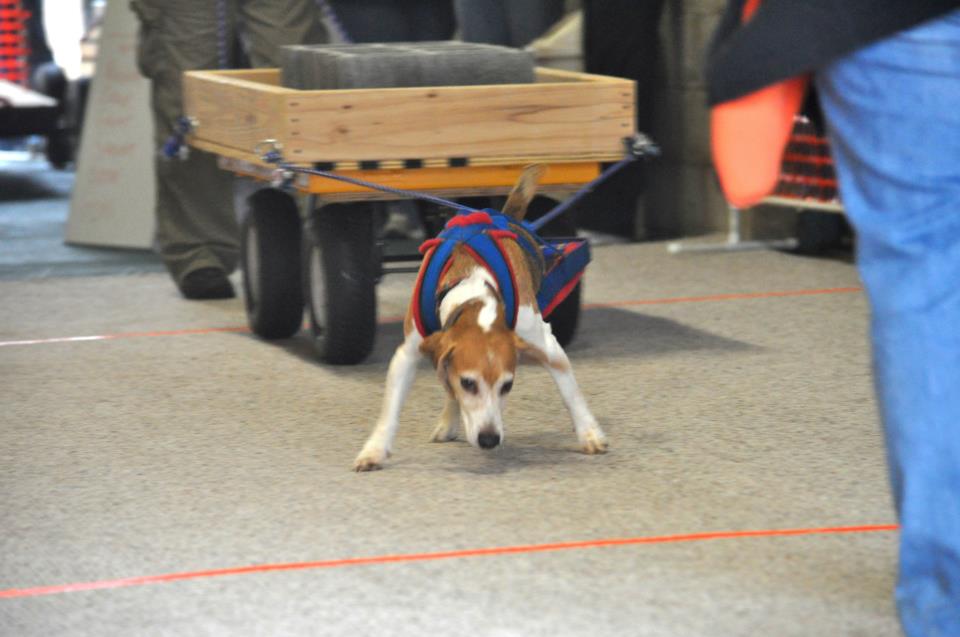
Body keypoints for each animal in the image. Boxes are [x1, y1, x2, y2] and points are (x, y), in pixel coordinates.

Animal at [352, 166, 608, 470]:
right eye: (468, 383)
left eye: (507, 385)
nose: (489, 439)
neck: (475, 296)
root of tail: (502, 216)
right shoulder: (408, 353)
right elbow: (390, 410)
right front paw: (375, 450)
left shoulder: (546, 344)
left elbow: (571, 393)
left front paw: (589, 432)